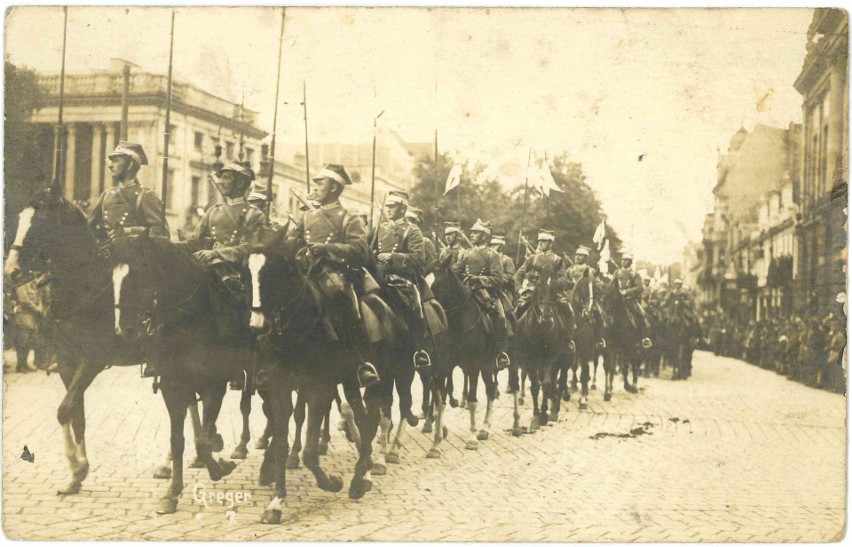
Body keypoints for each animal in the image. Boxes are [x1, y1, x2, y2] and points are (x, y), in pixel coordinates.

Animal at [246, 228, 380, 528]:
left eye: (272, 272)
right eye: (247, 272)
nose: (257, 326)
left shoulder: (319, 387)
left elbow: (308, 450)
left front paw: (331, 482)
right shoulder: (280, 387)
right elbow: (281, 443)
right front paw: (277, 501)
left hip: (350, 376)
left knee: (364, 418)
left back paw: (361, 477)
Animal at [432, 262, 500, 450]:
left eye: (437, 284)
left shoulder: (475, 365)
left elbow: (472, 400)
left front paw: (472, 437)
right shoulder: (444, 365)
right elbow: (440, 400)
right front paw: (437, 439)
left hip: (487, 364)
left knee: (491, 389)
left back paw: (484, 428)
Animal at [512, 272, 572, 432]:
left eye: (555, 287)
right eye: (539, 286)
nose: (547, 316)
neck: (541, 329)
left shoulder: (551, 357)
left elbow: (546, 384)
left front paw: (544, 415)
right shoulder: (529, 358)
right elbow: (535, 386)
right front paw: (536, 417)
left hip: (565, 358)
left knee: (560, 381)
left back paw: (554, 410)